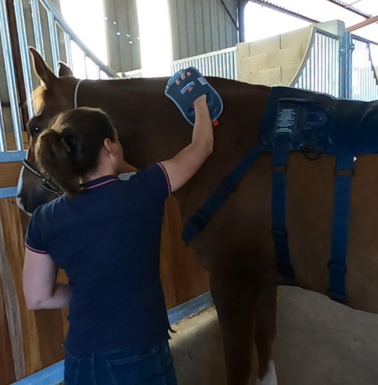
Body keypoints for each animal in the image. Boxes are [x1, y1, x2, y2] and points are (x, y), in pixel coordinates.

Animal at [17, 48, 378, 384]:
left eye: (35, 126)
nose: (22, 197)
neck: (229, 142)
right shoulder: (263, 282)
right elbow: (265, 350)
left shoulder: (231, 285)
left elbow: (239, 368)